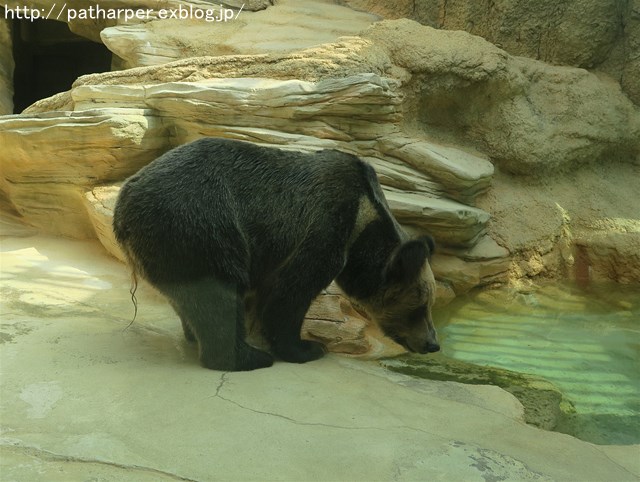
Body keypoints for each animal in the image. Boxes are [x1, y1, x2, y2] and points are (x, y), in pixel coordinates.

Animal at [111, 137, 440, 370]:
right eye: (420, 306)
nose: (432, 343)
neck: (363, 223)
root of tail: (123, 204)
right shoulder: (325, 225)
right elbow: (291, 293)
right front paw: (307, 348)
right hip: (200, 222)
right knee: (219, 291)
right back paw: (247, 357)